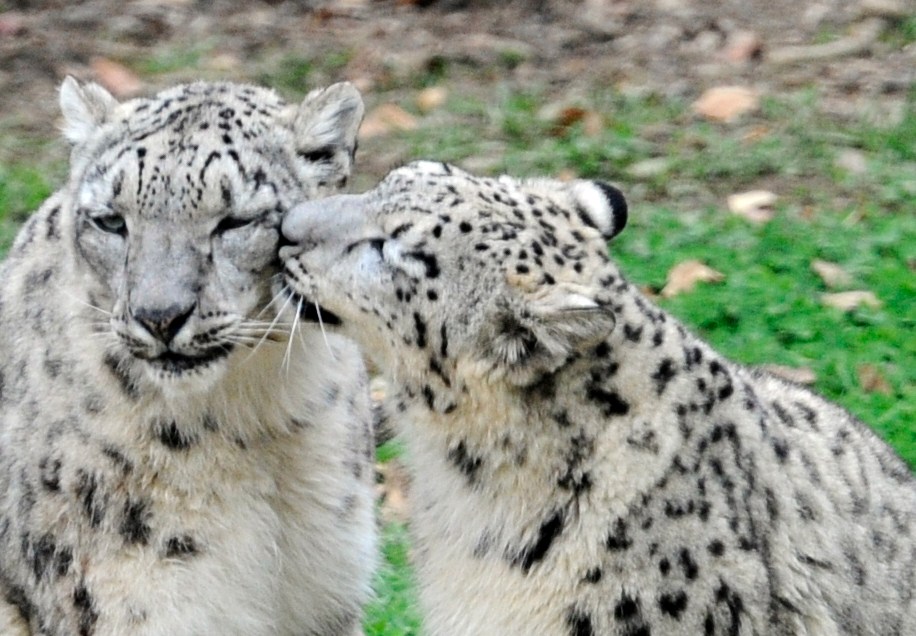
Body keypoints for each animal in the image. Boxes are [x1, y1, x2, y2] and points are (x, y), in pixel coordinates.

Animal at [0, 78, 377, 636]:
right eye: (111, 222)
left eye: (236, 221)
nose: (159, 316)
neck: (254, 424)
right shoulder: (127, 601)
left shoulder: (324, 593)